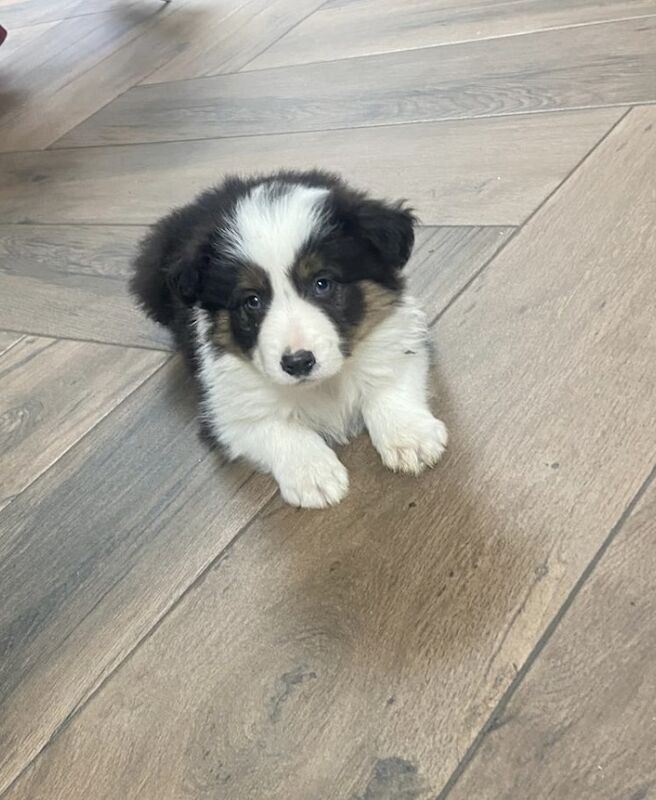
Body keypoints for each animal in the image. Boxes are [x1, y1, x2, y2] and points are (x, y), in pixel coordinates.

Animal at [131, 170, 448, 510]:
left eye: (322, 283)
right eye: (252, 301)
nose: (298, 363)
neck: (324, 386)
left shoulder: (401, 337)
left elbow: (388, 377)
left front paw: (410, 436)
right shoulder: (225, 411)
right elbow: (275, 426)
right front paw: (312, 473)